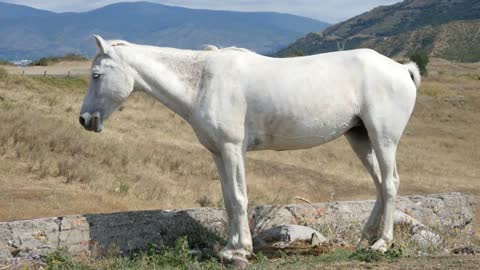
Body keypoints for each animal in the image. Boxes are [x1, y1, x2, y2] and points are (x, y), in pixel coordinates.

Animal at [79, 34, 420, 266]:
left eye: (96, 75)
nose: (84, 120)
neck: (203, 81)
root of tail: (402, 70)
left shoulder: (232, 150)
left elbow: (239, 198)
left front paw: (241, 251)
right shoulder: (219, 153)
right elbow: (229, 200)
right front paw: (229, 249)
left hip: (383, 139)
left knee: (390, 184)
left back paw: (382, 243)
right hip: (360, 138)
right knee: (380, 185)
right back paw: (364, 238)